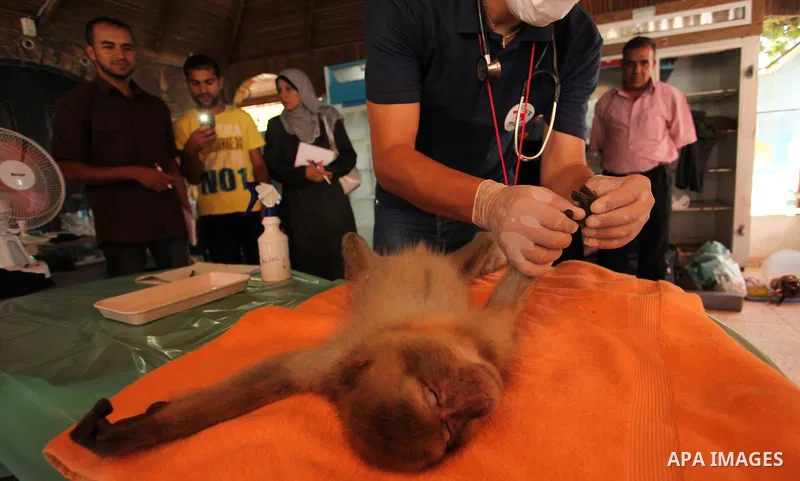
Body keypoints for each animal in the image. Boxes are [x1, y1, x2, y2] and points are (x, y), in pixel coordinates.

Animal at [69, 230, 534, 473]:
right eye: (449, 427)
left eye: (434, 396)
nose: (485, 400)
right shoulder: (333, 368)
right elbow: (271, 378)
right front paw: (132, 431)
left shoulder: (490, 341)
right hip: (376, 272)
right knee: (363, 258)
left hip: (425, 268)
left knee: (460, 253)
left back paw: (486, 246)